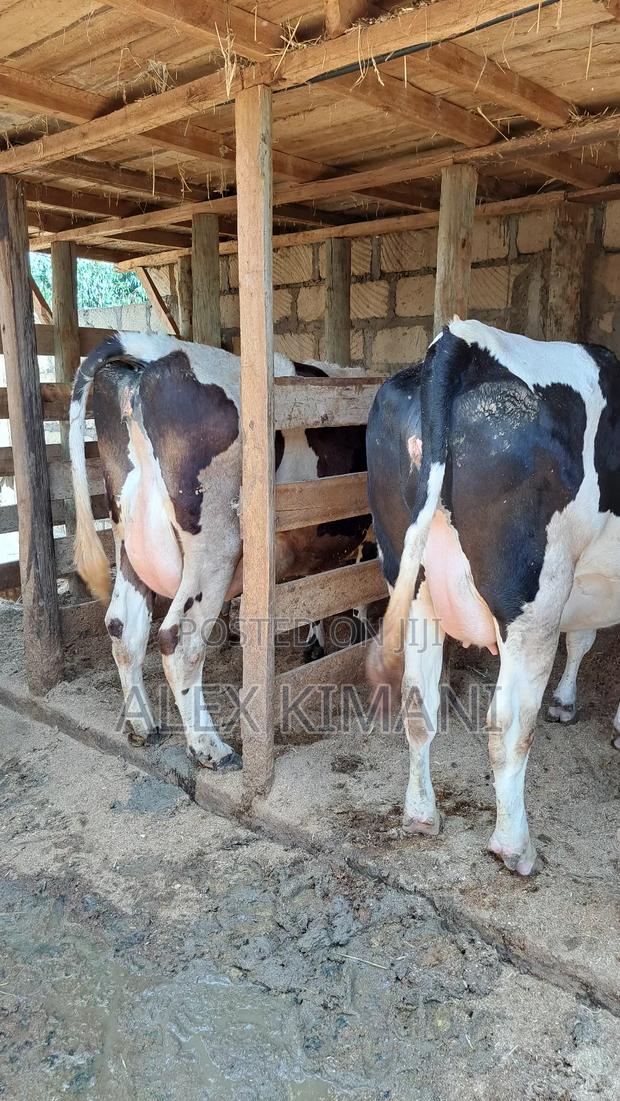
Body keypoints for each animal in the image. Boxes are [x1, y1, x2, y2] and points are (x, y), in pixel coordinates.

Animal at [69, 334, 372, 769]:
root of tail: (154, 353)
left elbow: (316, 589)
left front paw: (316, 644)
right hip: (215, 547)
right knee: (179, 642)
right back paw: (209, 746)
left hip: (129, 541)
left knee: (123, 627)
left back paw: (143, 725)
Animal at [366, 318, 620, 875]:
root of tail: (462, 340)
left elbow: (583, 636)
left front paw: (567, 702)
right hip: (533, 603)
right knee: (508, 726)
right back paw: (514, 847)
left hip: (413, 589)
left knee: (418, 705)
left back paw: (421, 816)